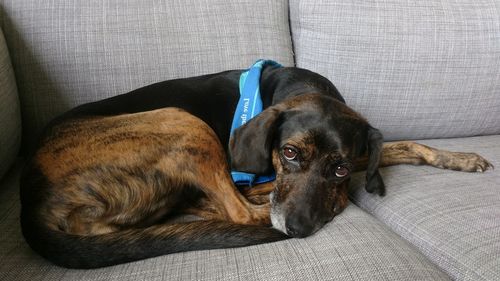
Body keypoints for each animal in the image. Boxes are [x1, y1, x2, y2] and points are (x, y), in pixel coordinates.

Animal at [19, 60, 492, 266]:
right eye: (289, 153)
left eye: (338, 167)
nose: (297, 229)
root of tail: (31, 198)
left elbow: (401, 145)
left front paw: (461, 158)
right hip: (182, 120)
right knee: (240, 210)